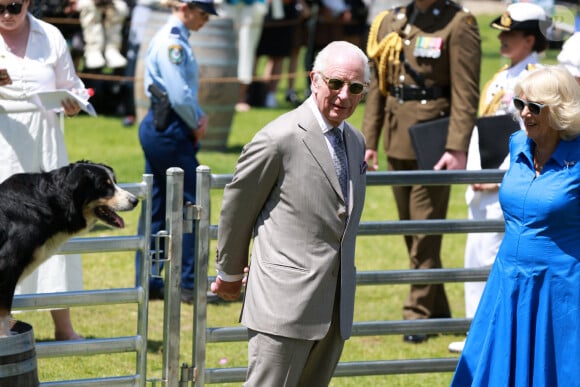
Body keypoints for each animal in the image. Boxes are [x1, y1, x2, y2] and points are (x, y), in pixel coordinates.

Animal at [0, 161, 138, 336]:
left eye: (114, 182)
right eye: (103, 186)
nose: (135, 200)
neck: (47, 202)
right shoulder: (7, 266)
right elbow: (3, 313)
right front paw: (5, 335)